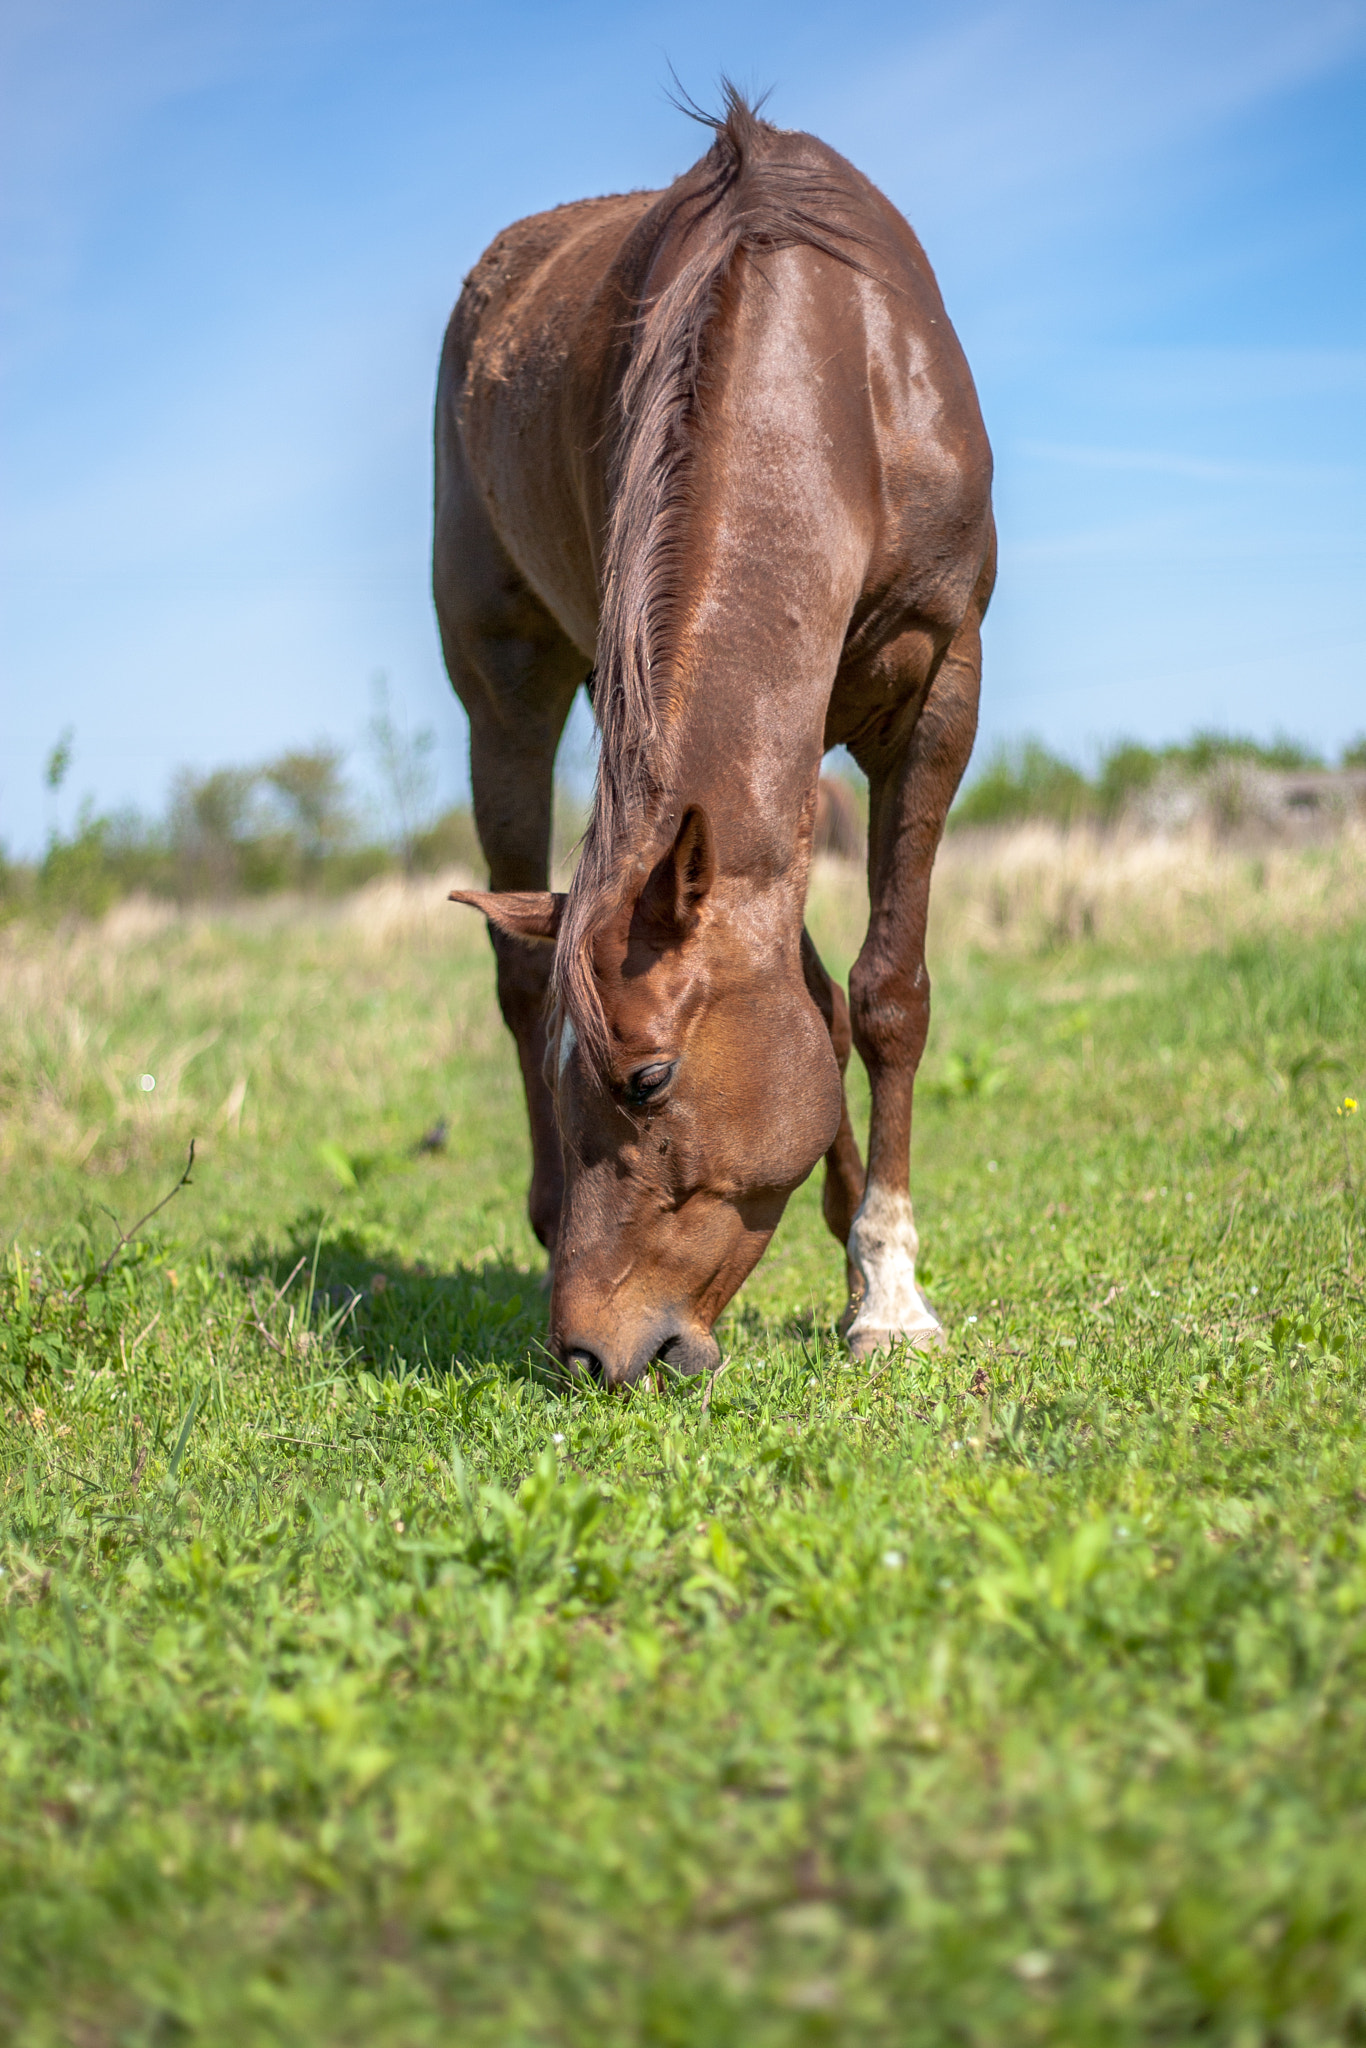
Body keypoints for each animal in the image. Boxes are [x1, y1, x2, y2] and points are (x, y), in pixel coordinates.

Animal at [436, 88, 995, 1384]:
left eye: (648, 1077)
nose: (586, 1348)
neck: (838, 378)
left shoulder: (938, 694)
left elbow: (877, 994)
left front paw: (884, 1285)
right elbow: (816, 997)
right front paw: (862, 1258)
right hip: (504, 696)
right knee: (516, 961)